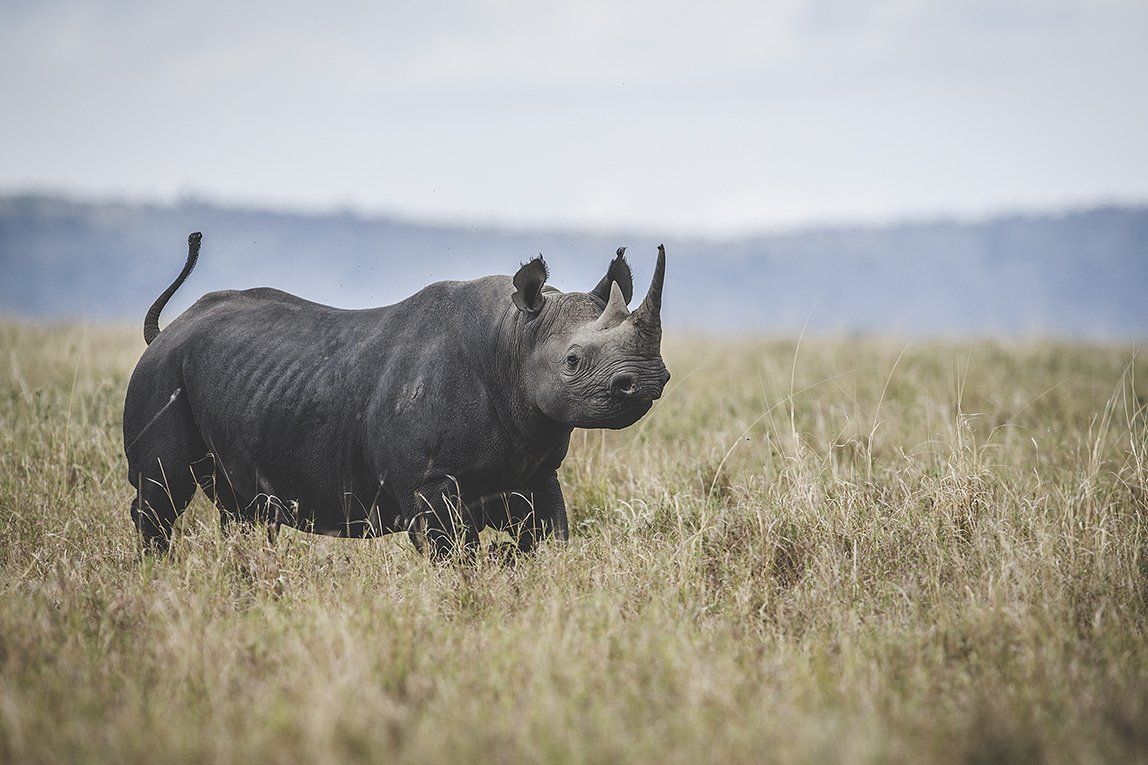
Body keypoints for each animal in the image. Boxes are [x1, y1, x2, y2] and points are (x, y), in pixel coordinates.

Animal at [123, 234, 670, 558]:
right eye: (572, 361)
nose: (645, 380)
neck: (515, 338)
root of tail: (167, 332)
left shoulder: (534, 469)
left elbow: (550, 537)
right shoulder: (427, 484)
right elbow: (456, 553)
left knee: (243, 512)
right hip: (160, 373)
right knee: (161, 494)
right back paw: (158, 572)